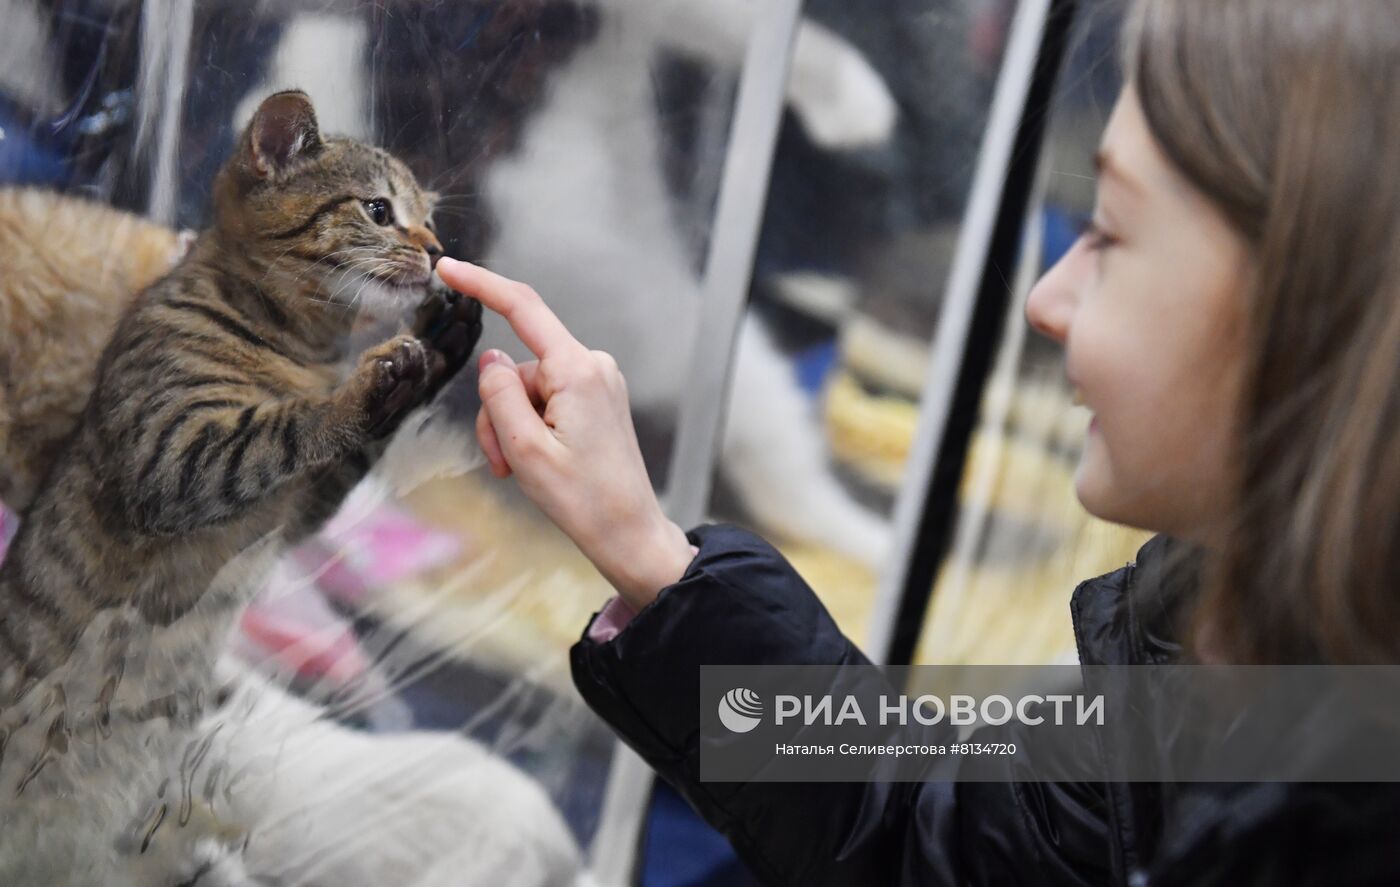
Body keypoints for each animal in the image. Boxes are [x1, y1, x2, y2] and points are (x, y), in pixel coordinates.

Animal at [0, 91, 487, 884]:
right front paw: (367, 384)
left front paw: (441, 344)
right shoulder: (172, 454)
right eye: (379, 210)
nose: (441, 252)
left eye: (429, 217)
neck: (302, 347)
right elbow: (283, 427)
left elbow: (337, 449)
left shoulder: (296, 512)